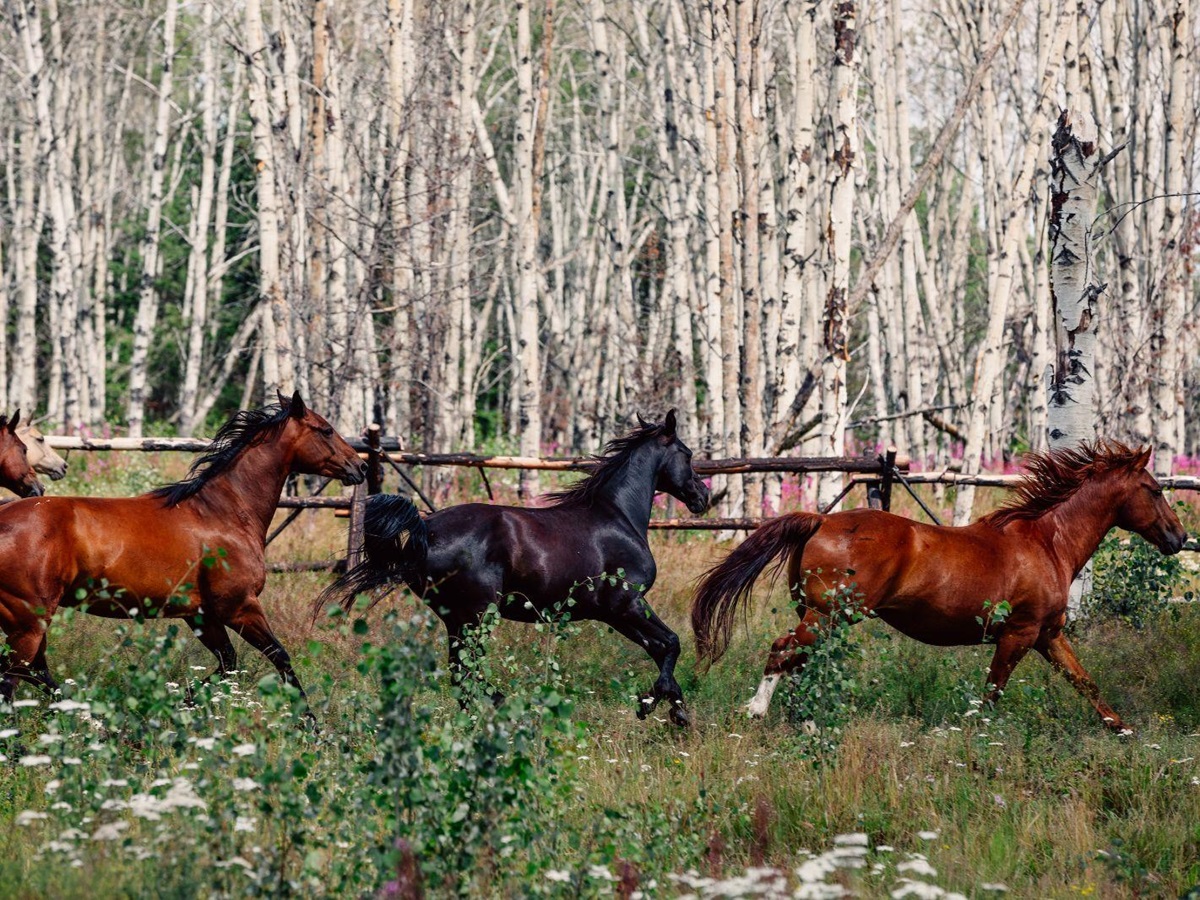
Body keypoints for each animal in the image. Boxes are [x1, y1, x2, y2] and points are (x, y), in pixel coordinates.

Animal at [0, 391, 366, 706]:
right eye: (326, 430)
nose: (359, 467)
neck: (222, 513)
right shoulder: (240, 607)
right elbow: (280, 658)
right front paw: (311, 726)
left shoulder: (202, 614)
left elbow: (228, 662)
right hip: (29, 621)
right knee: (16, 677)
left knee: (33, 672)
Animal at [320, 410, 710, 725]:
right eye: (688, 454)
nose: (702, 497)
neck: (618, 516)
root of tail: (425, 529)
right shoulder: (626, 604)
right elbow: (671, 643)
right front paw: (652, 704)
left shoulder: (614, 613)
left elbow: (660, 647)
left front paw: (673, 709)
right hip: (477, 614)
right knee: (466, 670)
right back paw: (502, 708)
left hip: (455, 618)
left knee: (459, 671)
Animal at [691, 442, 1189, 732]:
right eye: (1154, 489)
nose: (1179, 538)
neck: (1048, 542)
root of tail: (820, 520)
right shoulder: (1019, 634)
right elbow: (993, 691)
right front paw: (979, 734)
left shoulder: (1048, 634)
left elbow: (1084, 680)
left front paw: (1120, 727)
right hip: (829, 616)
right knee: (782, 651)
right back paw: (757, 712)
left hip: (821, 617)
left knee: (800, 663)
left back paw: (807, 724)